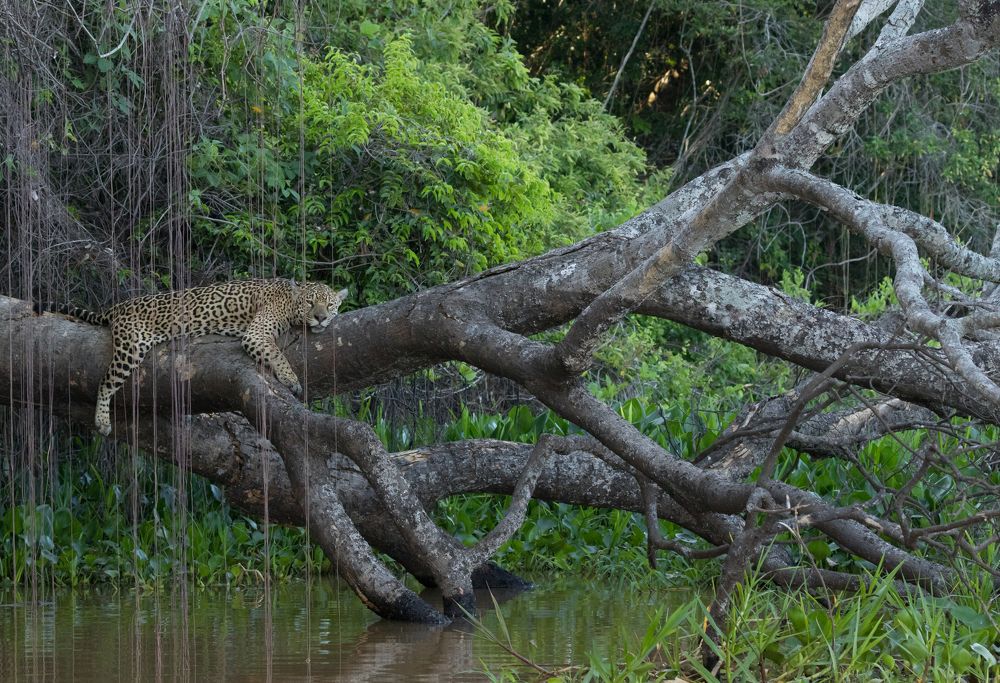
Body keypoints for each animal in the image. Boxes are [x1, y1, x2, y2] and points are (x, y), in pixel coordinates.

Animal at [35, 279, 348, 436]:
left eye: (330, 304)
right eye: (310, 303)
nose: (321, 318)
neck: (289, 300)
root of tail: (118, 306)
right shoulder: (256, 333)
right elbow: (277, 354)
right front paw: (291, 380)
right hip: (130, 348)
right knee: (105, 382)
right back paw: (102, 421)